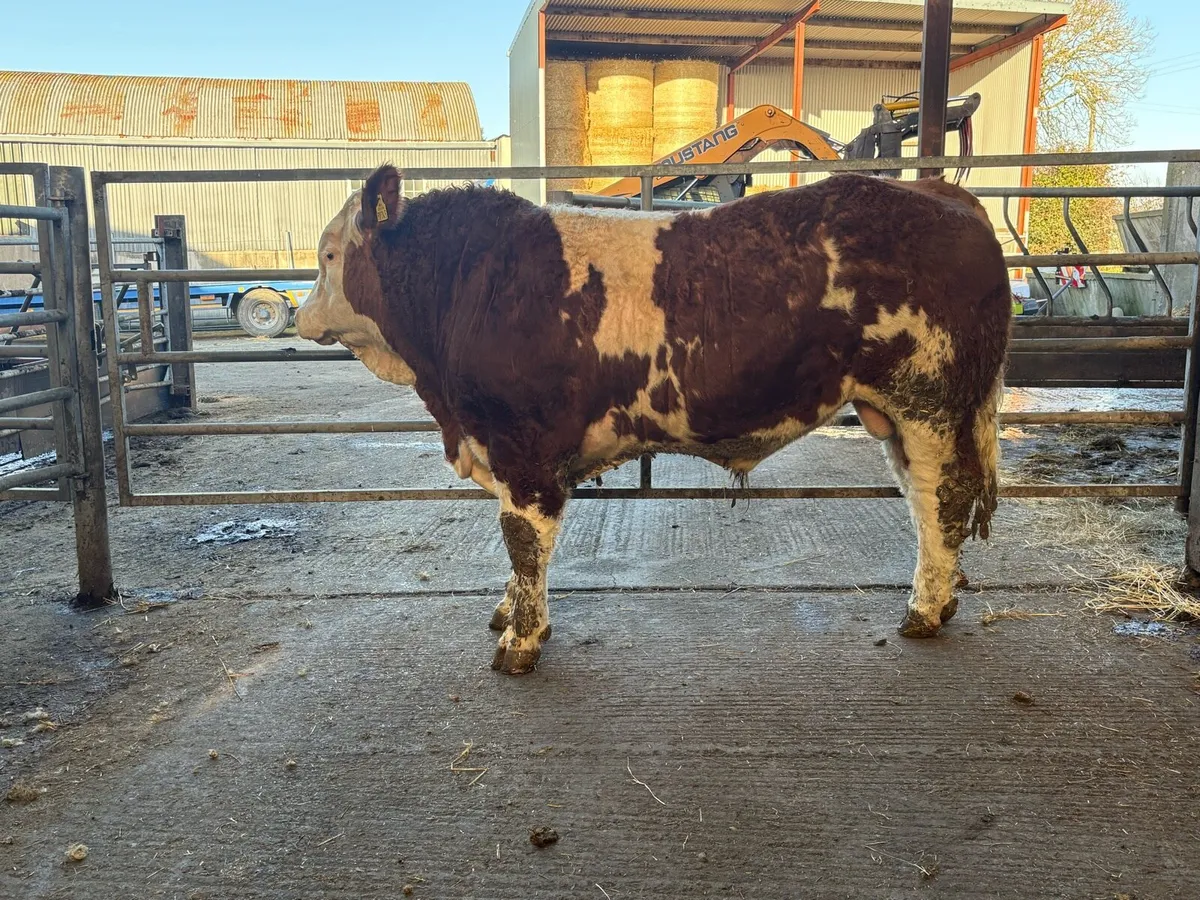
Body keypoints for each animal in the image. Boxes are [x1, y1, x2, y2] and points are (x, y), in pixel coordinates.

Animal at [295, 164, 1011, 675]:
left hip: (929, 401)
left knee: (942, 498)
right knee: (923, 500)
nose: (299, 316)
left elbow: (524, 542)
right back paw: (940, 599)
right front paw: (511, 613)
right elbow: (522, 553)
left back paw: (923, 611)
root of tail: (941, 191)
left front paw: (521, 643)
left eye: (329, 254)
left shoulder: (524, 450)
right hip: (899, 411)